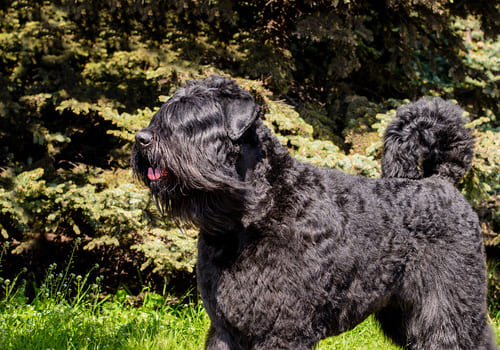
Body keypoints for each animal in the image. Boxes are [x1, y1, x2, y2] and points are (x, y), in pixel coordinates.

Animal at [132, 76, 496, 350]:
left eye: (196, 119)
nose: (142, 139)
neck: (250, 214)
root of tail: (442, 180)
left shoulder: (282, 330)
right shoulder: (226, 329)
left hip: (449, 307)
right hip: (404, 312)